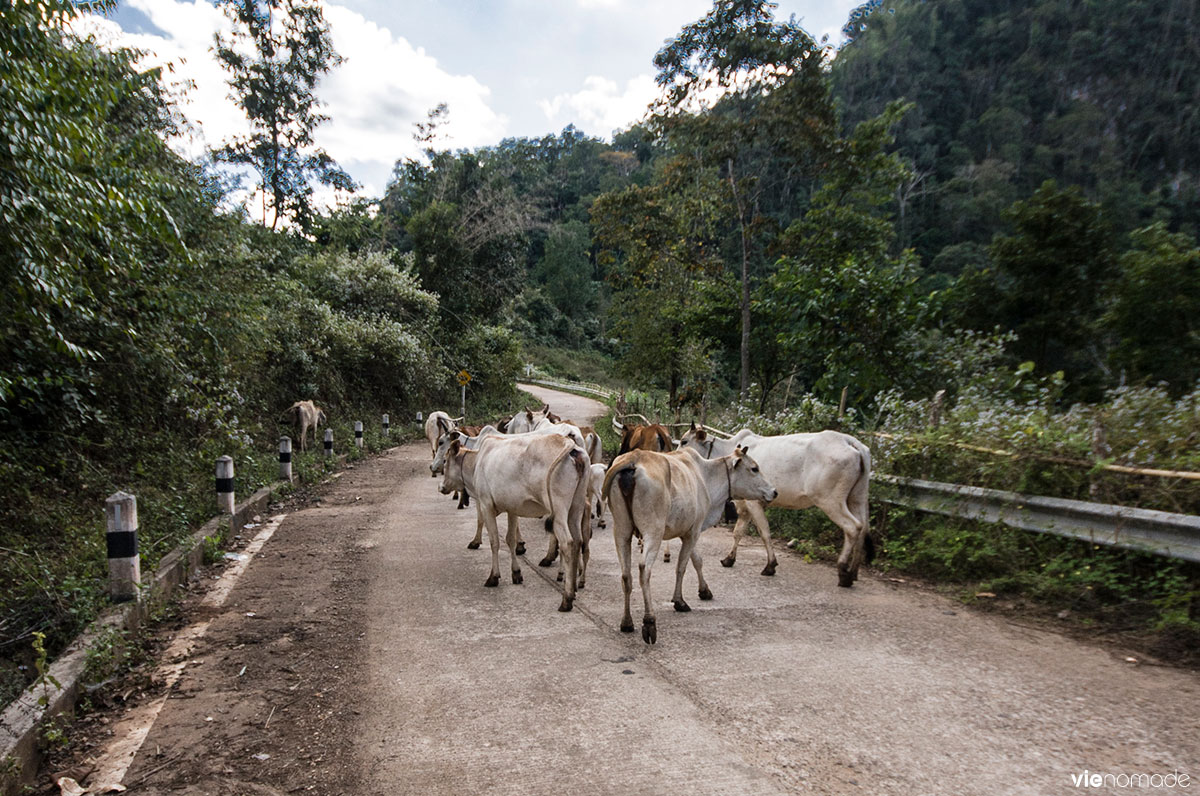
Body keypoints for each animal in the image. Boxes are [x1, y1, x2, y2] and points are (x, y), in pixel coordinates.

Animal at [441, 432, 590, 612]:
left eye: (445, 460)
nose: (441, 487)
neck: (477, 462)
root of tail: (569, 445)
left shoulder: (486, 505)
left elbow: (494, 542)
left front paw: (493, 577)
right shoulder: (512, 509)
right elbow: (510, 540)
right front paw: (516, 573)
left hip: (559, 510)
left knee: (567, 543)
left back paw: (566, 598)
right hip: (576, 507)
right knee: (578, 541)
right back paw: (573, 589)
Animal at [600, 444, 777, 643]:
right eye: (754, 468)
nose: (774, 492)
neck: (705, 475)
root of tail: (634, 459)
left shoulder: (688, 530)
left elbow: (696, 560)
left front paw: (704, 590)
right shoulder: (693, 531)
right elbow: (682, 567)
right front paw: (680, 601)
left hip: (621, 530)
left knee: (625, 575)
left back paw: (627, 622)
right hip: (653, 532)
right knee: (644, 570)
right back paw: (649, 622)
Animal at [676, 427, 873, 588]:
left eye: (684, 441)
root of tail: (849, 441)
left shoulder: (754, 503)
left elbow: (764, 532)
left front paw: (770, 566)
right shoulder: (745, 507)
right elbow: (738, 532)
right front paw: (729, 559)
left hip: (830, 500)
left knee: (853, 527)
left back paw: (843, 572)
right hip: (858, 497)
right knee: (863, 528)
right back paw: (853, 572)